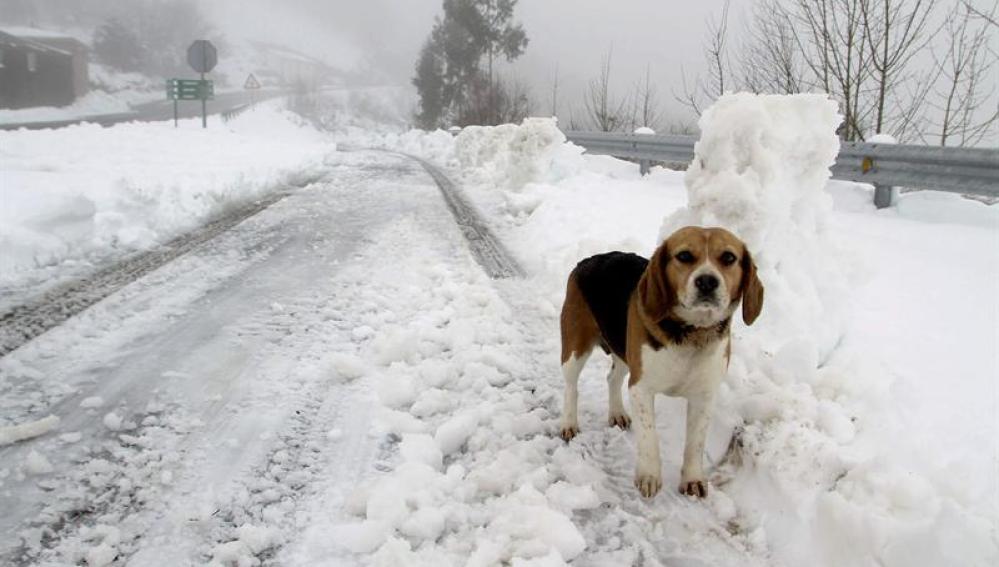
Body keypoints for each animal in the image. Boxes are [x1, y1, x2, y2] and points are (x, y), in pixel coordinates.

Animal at [560, 226, 760, 496]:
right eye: (684, 256)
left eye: (728, 257)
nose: (707, 281)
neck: (692, 333)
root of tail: (589, 260)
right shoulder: (641, 388)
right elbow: (649, 437)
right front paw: (649, 476)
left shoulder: (704, 396)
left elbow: (695, 443)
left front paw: (693, 479)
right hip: (575, 348)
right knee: (571, 387)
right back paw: (569, 423)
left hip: (625, 354)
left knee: (612, 378)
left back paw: (617, 412)